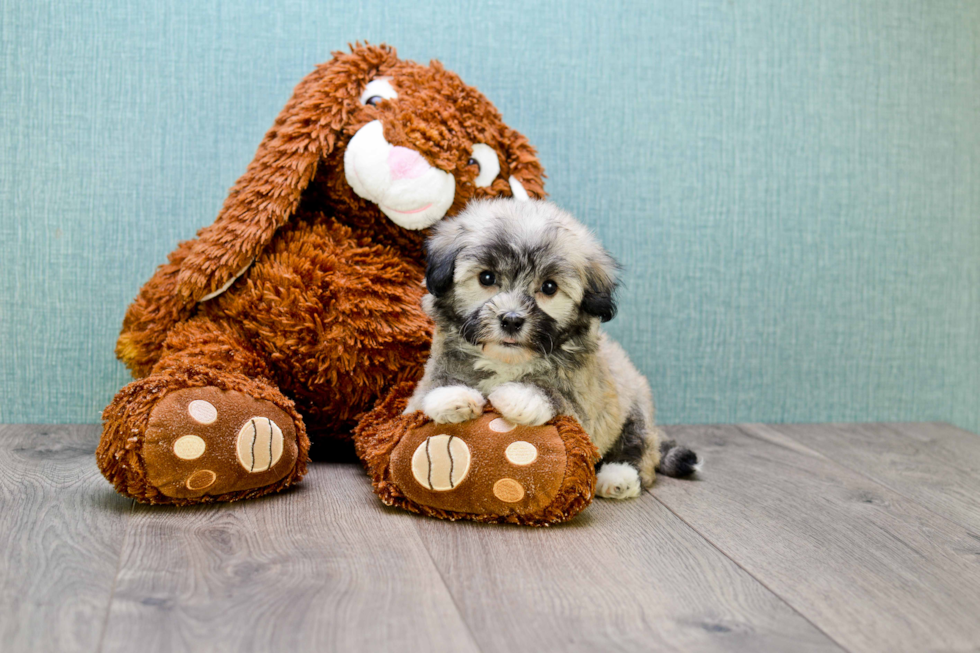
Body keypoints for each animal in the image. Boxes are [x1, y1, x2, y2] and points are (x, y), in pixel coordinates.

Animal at [404, 196, 696, 496]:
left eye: (549, 287)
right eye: (486, 278)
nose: (511, 320)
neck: (507, 361)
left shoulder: (585, 407)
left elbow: (558, 395)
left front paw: (522, 396)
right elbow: (430, 389)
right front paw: (452, 395)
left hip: (636, 406)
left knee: (639, 451)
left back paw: (619, 477)